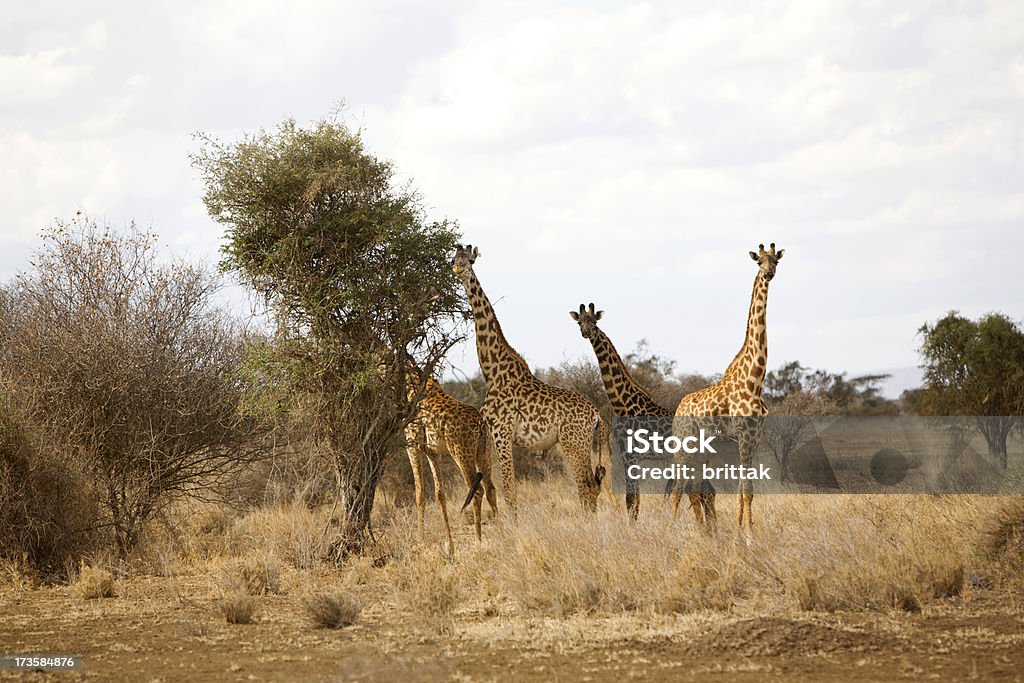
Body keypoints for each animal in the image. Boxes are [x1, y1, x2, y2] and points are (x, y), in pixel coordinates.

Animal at [401, 368, 497, 557]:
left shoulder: (412, 443)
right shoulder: (432, 452)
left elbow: (419, 493)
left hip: (461, 452)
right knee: (490, 488)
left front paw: (421, 541)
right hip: (485, 452)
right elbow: (439, 494)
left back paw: (478, 541)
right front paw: (449, 546)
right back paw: (506, 531)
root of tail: (481, 424)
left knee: (477, 491)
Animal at [450, 245, 606, 511]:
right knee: (590, 486)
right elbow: (495, 488)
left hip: (573, 443)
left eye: (470, 261)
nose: (459, 269)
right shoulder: (491, 435)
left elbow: (510, 492)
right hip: (579, 443)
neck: (492, 371)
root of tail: (596, 414)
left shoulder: (502, 432)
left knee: (587, 485)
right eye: (454, 259)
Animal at [569, 301, 712, 520]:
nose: (586, 332)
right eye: (579, 322)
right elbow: (635, 501)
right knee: (707, 493)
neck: (622, 403)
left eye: (594, 321)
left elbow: (630, 500)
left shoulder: (630, 455)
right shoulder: (628, 455)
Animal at [671, 241, 782, 532]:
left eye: (776, 261)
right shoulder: (743, 434)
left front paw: (743, 531)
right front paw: (747, 535)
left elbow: (745, 490)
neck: (755, 379)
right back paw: (669, 531)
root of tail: (677, 409)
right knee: (677, 488)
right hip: (683, 443)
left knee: (693, 487)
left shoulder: (754, 436)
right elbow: (746, 490)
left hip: (702, 447)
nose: (768, 274)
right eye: (759, 262)